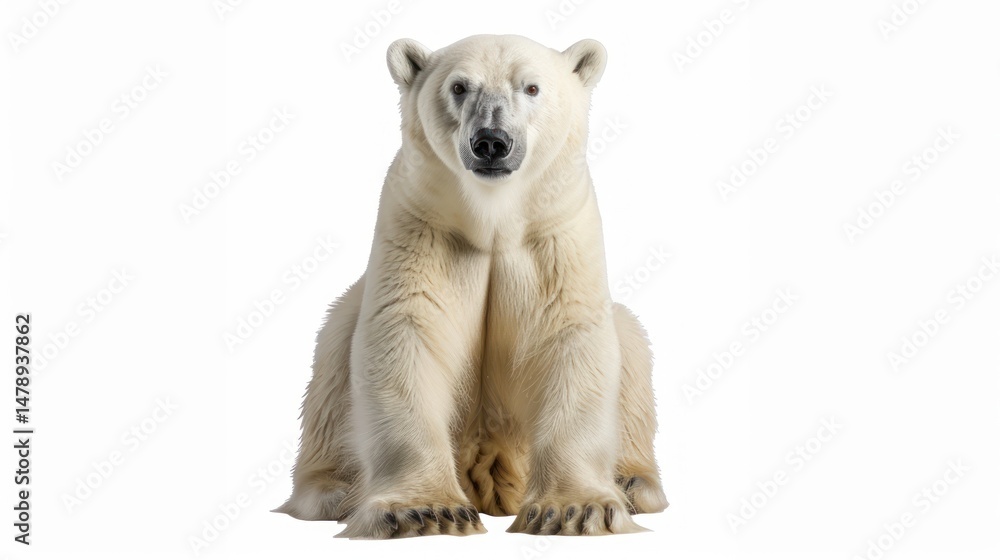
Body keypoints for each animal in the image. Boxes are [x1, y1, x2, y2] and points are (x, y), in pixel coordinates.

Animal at [275, 34, 668, 538]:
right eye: (459, 87)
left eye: (531, 87)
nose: (492, 143)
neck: (493, 219)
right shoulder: (423, 227)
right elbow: (406, 337)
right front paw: (425, 511)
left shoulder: (555, 234)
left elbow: (571, 340)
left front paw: (575, 510)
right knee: (334, 346)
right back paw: (335, 491)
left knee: (631, 342)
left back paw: (634, 485)